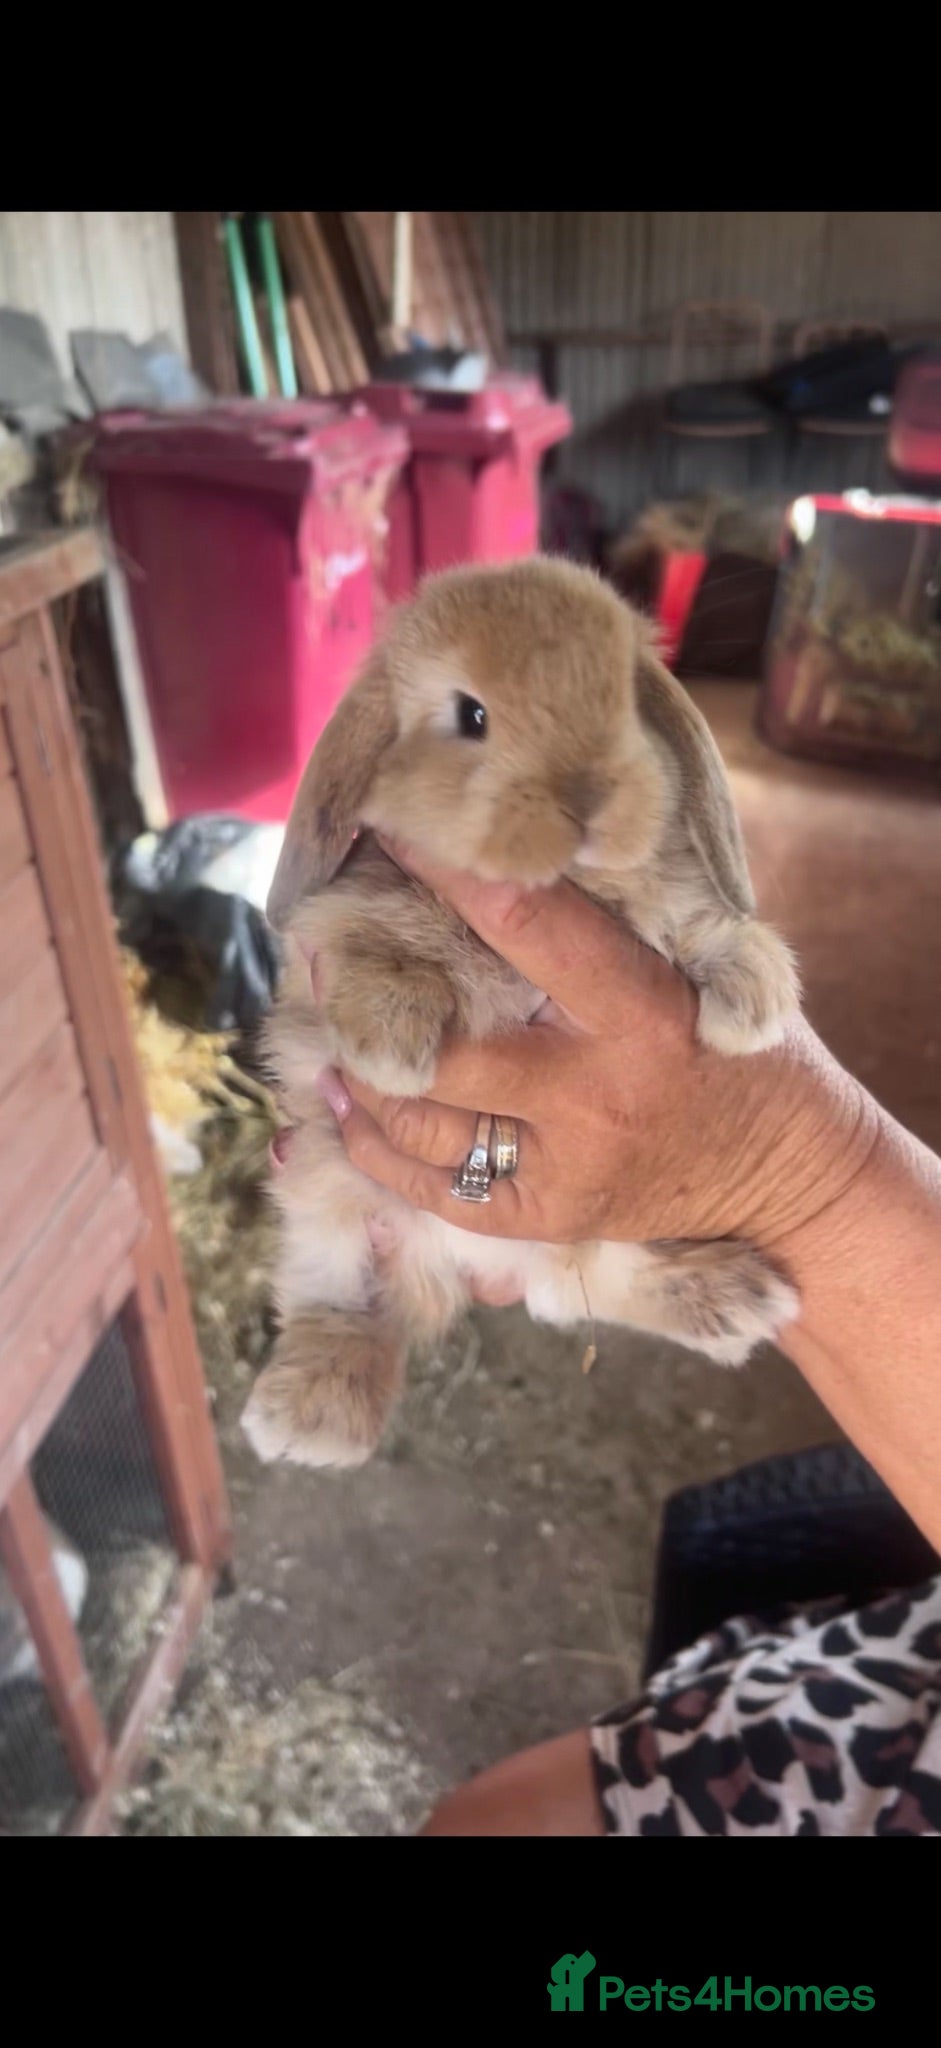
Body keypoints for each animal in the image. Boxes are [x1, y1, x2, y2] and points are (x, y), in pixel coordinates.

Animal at [241, 556, 800, 1472]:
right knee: (345, 1305)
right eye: (470, 715)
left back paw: (731, 1301)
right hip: (332, 1203)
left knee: (584, 1287)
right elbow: (367, 940)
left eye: (624, 700)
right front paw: (394, 1045)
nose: (590, 795)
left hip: (623, 1220)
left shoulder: (677, 901)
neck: (568, 884)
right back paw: (307, 1419)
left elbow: (698, 923)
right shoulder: (342, 918)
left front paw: (750, 1001)